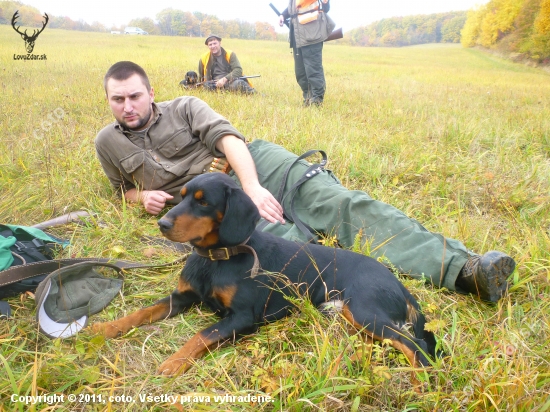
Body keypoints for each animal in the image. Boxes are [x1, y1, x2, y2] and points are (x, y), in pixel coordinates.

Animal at [94, 173, 440, 376]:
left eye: (204, 202)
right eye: (181, 196)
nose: (162, 224)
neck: (216, 260)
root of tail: (398, 284)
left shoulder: (243, 317)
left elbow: (202, 334)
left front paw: (173, 362)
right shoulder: (182, 297)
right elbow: (143, 311)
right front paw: (103, 328)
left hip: (365, 311)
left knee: (415, 345)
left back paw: (420, 381)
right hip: (350, 317)